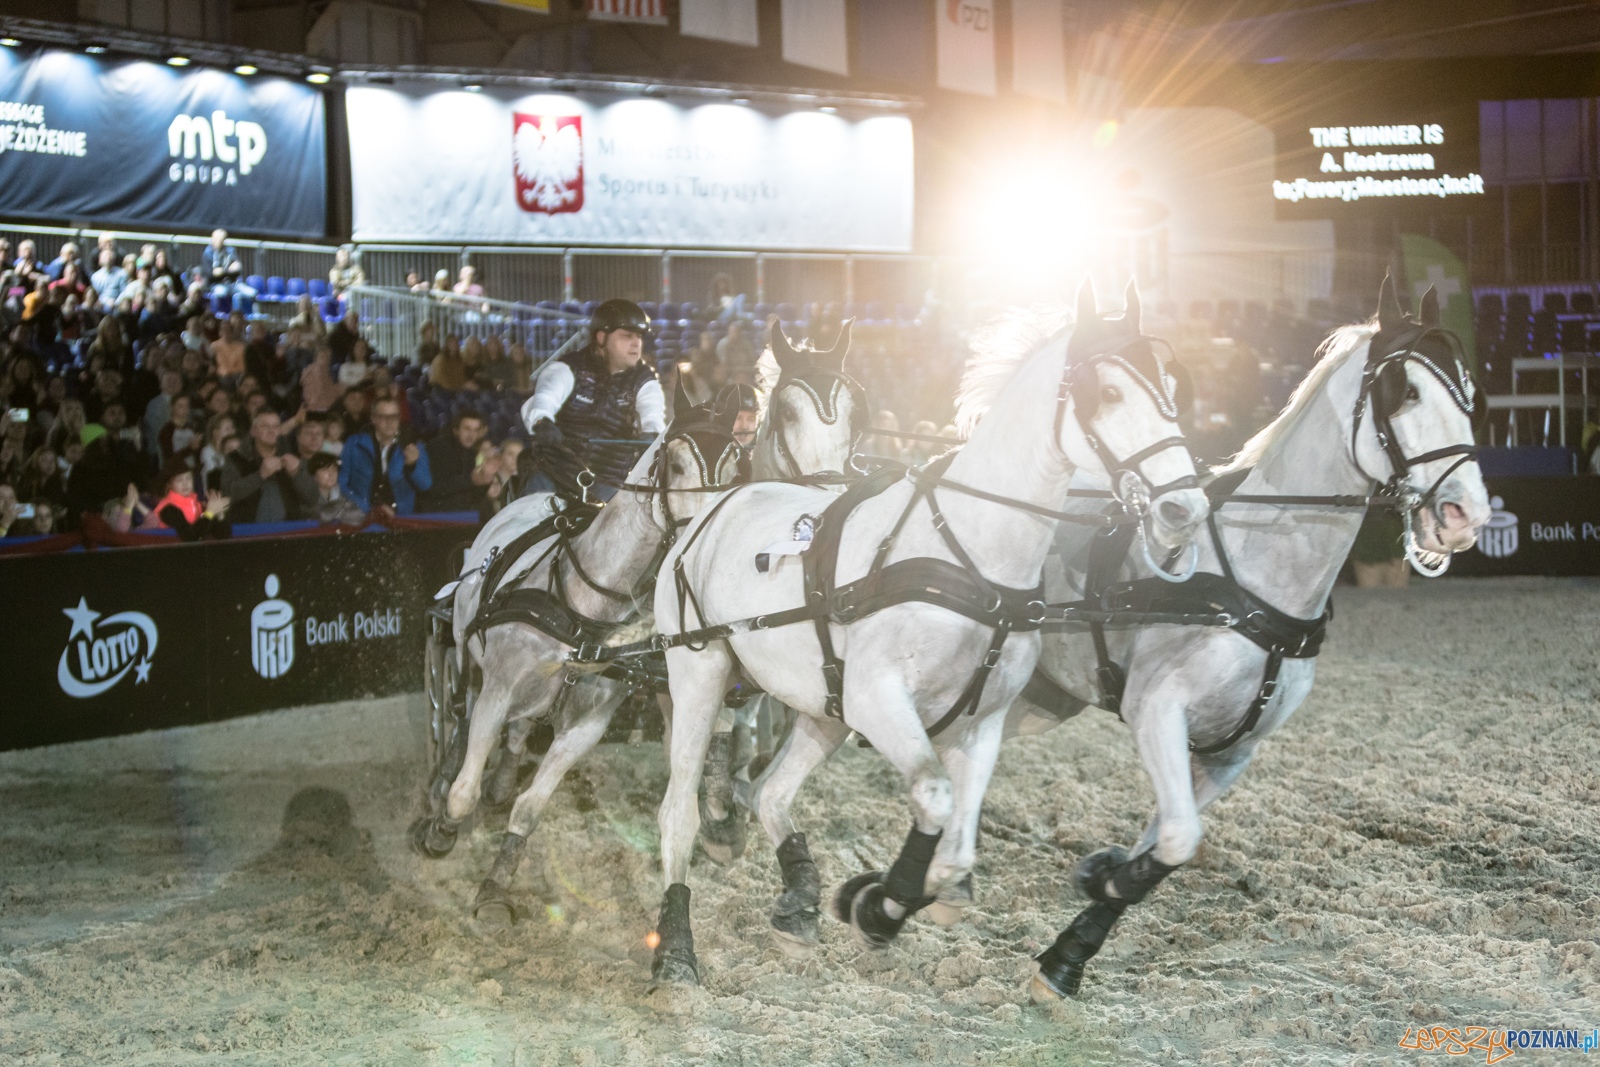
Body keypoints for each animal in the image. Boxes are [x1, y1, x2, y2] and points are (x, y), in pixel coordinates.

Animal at [643, 281, 1203, 985]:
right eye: (1106, 393)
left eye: (1172, 385)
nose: (1186, 506)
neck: (969, 557)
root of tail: (712, 510)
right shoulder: (878, 699)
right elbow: (933, 798)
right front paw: (879, 906)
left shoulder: (980, 722)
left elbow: (956, 852)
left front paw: (883, 897)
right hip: (699, 673)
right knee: (678, 814)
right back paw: (676, 951)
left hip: (821, 707)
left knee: (771, 793)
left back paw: (797, 903)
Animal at [1004, 279, 1491, 998]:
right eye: (1404, 390)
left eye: (1468, 391)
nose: (1466, 515)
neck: (1253, 579)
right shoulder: (1155, 710)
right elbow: (1177, 839)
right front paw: (1084, 915)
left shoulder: (1230, 753)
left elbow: (1167, 844)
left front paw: (1081, 927)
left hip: (1035, 699)